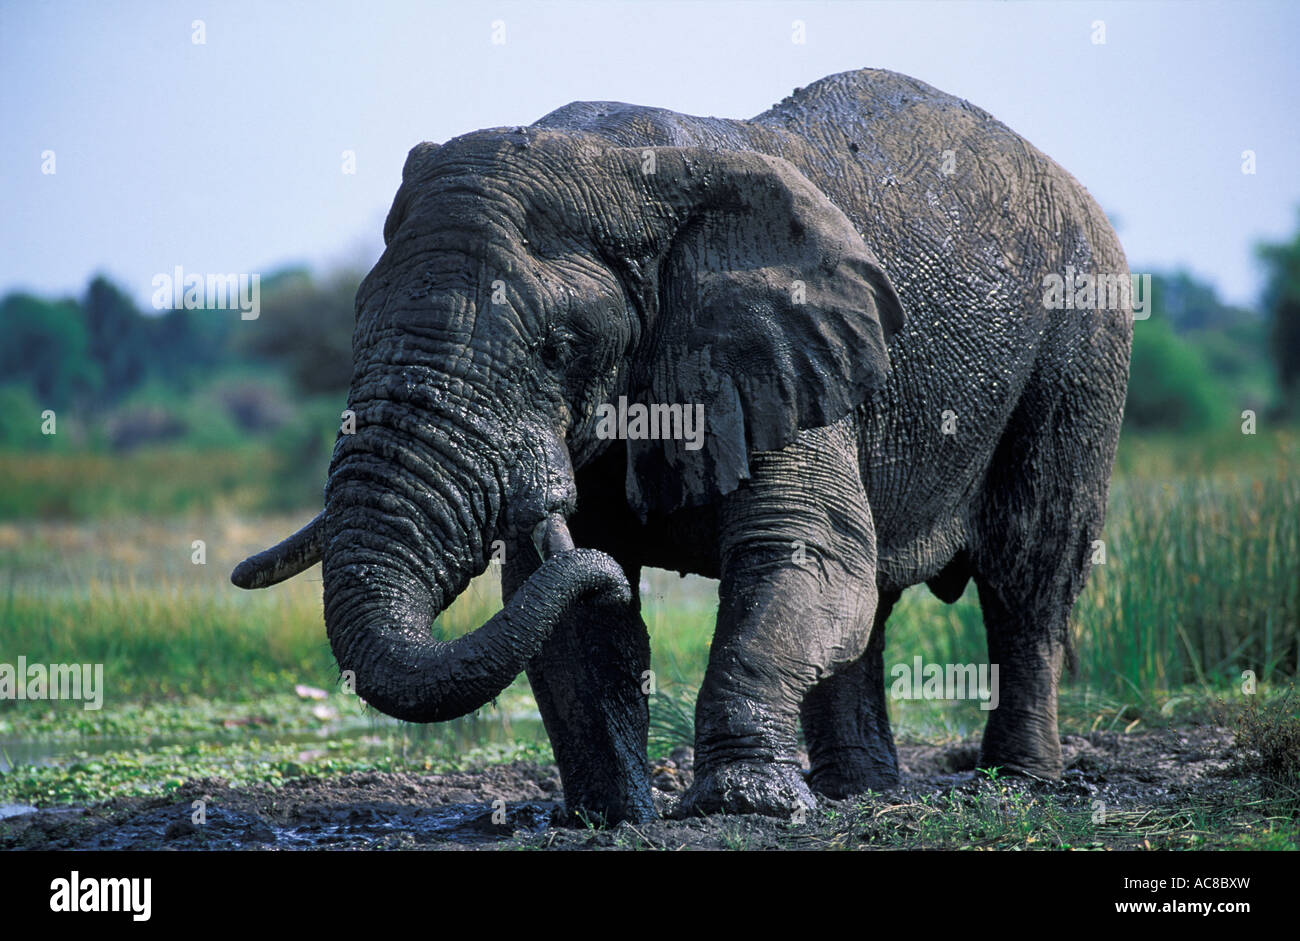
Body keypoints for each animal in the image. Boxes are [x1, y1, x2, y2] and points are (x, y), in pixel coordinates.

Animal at [232, 68, 1132, 824]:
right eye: (356, 323)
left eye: (559, 347)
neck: (637, 168)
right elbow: (566, 607)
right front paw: (609, 816)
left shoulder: (780, 353)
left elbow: (800, 554)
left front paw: (744, 806)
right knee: (876, 597)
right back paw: (859, 791)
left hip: (1082, 339)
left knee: (1028, 567)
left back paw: (1021, 780)